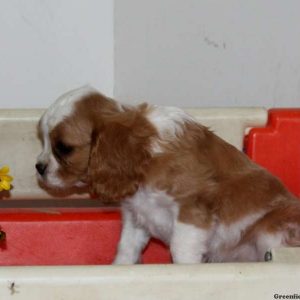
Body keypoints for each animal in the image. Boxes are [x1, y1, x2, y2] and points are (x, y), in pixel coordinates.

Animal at [37, 85, 300, 264]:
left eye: (64, 148)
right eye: (43, 141)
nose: (39, 167)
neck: (146, 155)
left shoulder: (192, 211)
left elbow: (180, 250)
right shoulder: (136, 216)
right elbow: (126, 248)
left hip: (271, 229)